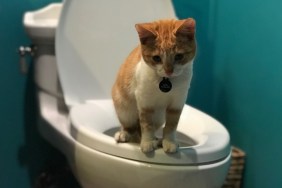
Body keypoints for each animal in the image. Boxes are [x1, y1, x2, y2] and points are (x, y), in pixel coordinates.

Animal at [110, 17, 196, 153]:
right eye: (156, 58)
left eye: (179, 56)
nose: (169, 71)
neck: (167, 80)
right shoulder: (145, 101)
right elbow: (146, 124)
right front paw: (147, 142)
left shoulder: (178, 102)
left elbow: (171, 125)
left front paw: (169, 142)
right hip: (124, 109)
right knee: (131, 127)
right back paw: (124, 134)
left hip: (159, 117)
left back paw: (158, 140)